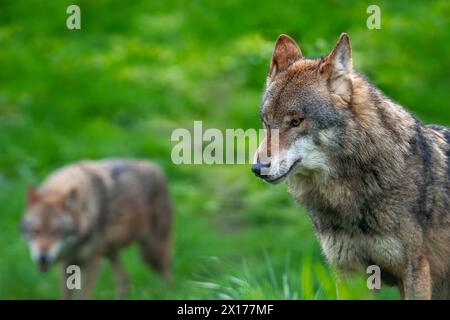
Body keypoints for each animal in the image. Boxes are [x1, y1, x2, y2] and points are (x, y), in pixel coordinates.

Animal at [20, 159, 173, 298]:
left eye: (56, 232)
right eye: (35, 231)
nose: (42, 257)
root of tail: (157, 168)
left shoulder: (91, 263)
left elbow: (83, 295)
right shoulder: (67, 264)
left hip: (152, 252)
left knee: (167, 272)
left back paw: (168, 293)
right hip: (111, 252)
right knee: (125, 279)